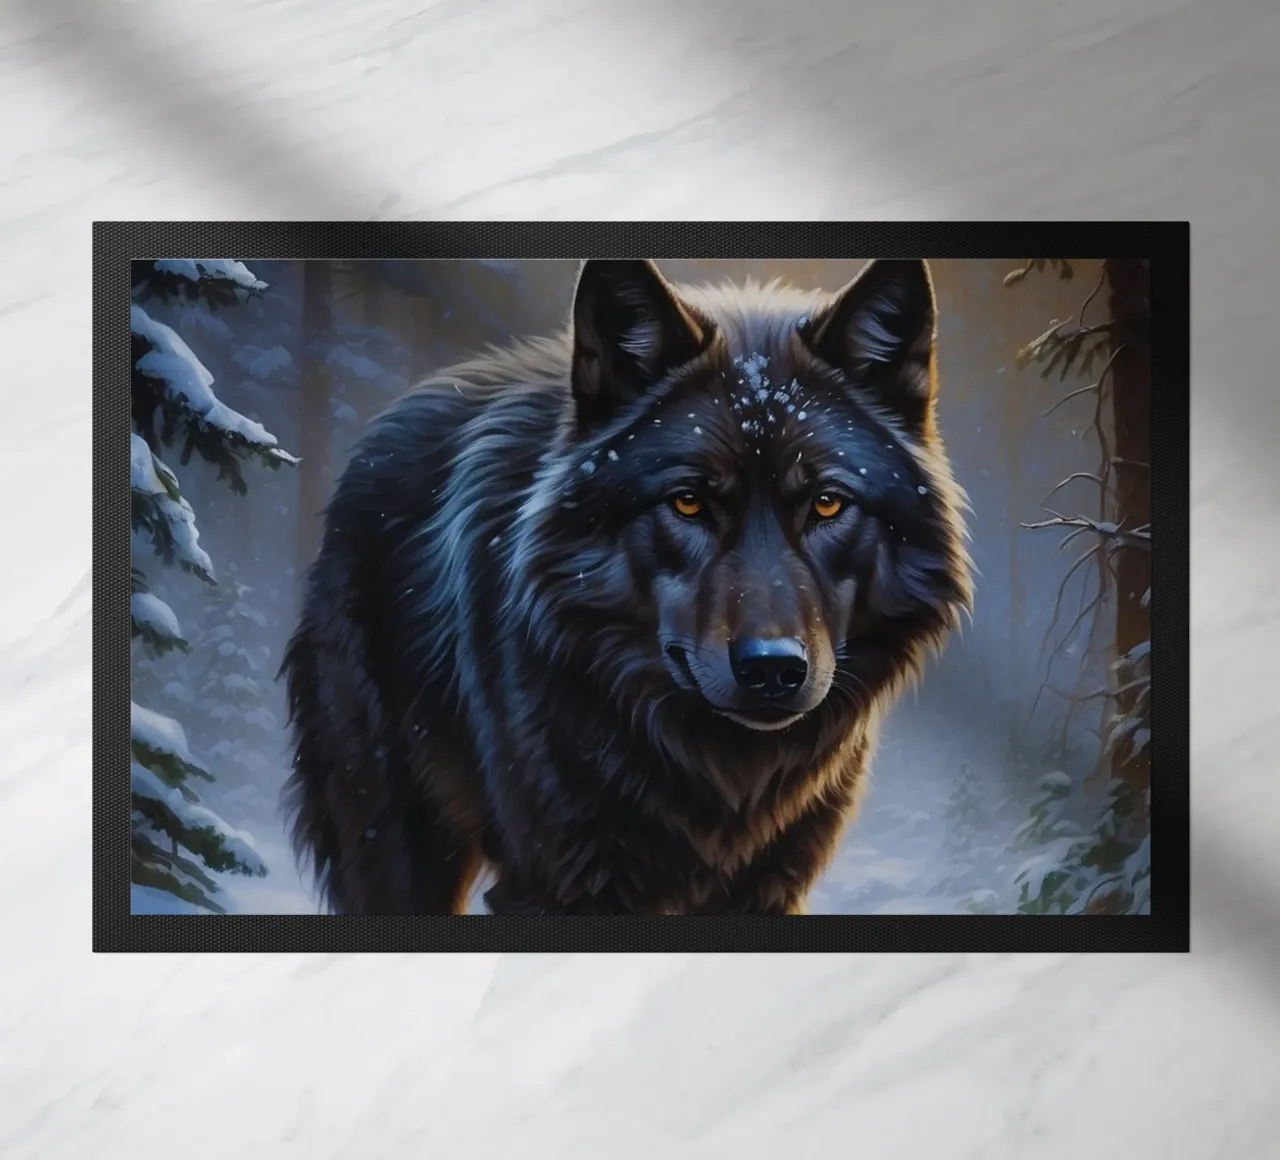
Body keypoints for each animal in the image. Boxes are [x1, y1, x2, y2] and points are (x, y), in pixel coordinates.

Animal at [279, 258, 972, 915]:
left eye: (827, 503)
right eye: (688, 502)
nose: (772, 669)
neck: (718, 773)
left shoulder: (770, 889)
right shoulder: (557, 886)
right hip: (399, 841)